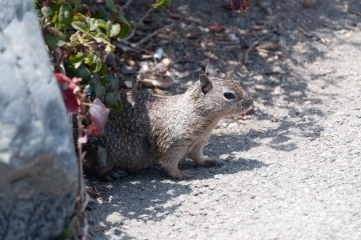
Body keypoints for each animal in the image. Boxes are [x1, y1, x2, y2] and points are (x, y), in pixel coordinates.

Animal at [89, 66, 253, 179]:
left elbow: (197, 156)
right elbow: (169, 162)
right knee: (97, 170)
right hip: (104, 152)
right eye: (228, 95)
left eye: (237, 82)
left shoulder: (198, 142)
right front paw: (180, 174)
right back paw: (112, 173)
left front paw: (209, 160)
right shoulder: (173, 143)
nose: (251, 101)